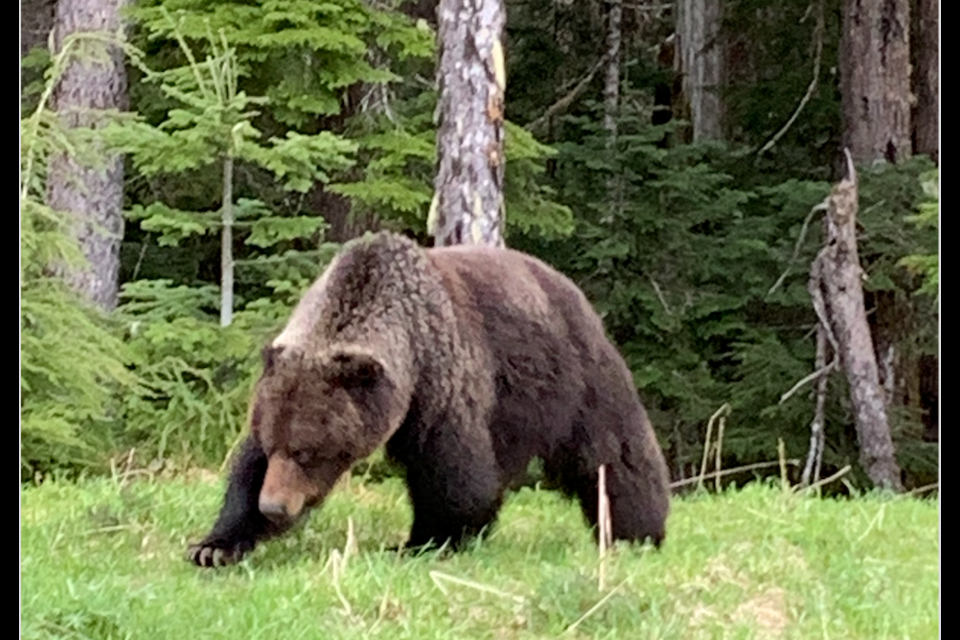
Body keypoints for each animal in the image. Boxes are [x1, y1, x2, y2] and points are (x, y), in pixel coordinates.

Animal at [186, 232, 668, 568]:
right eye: (274, 446)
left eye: (307, 451)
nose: (274, 505)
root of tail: (567, 283)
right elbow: (244, 471)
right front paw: (214, 546)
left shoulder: (440, 384)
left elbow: (453, 476)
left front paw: (423, 541)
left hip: (574, 377)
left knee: (613, 455)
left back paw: (637, 532)